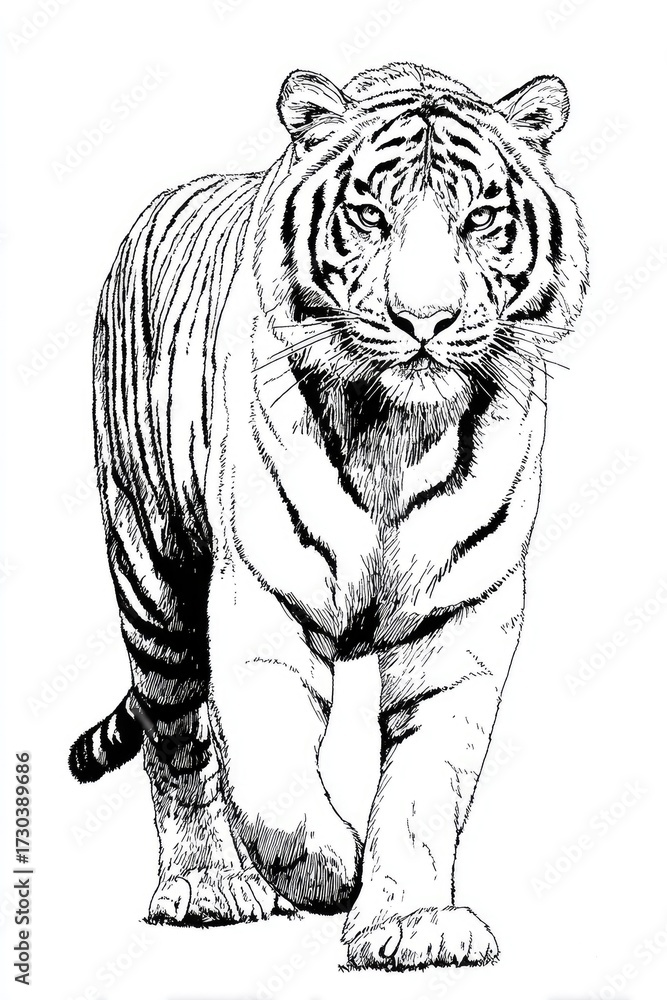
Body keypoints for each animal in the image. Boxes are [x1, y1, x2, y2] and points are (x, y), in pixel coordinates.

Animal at [69, 61, 588, 970]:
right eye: (369, 215)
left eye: (480, 220)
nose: (425, 321)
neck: (398, 434)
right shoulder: (260, 601)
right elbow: (271, 776)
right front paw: (332, 872)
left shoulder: (462, 622)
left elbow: (424, 788)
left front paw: (408, 925)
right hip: (152, 573)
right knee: (176, 736)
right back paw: (207, 887)